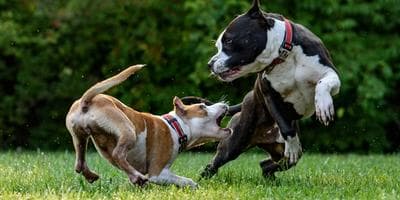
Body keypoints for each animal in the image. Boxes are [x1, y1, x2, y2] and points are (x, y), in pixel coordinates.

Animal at [65, 65, 231, 188]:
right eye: (203, 107)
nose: (225, 104)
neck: (176, 127)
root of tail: (86, 101)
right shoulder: (158, 174)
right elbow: (185, 180)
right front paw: (195, 186)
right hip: (128, 129)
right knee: (118, 154)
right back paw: (137, 177)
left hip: (79, 136)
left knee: (79, 164)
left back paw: (94, 176)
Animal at [184, 0, 340, 178]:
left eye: (229, 41)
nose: (210, 64)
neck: (283, 55)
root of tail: (246, 99)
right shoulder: (269, 95)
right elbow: (285, 126)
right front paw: (292, 144)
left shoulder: (330, 73)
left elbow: (323, 83)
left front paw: (323, 105)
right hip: (234, 142)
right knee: (214, 164)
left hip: (278, 152)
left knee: (268, 164)